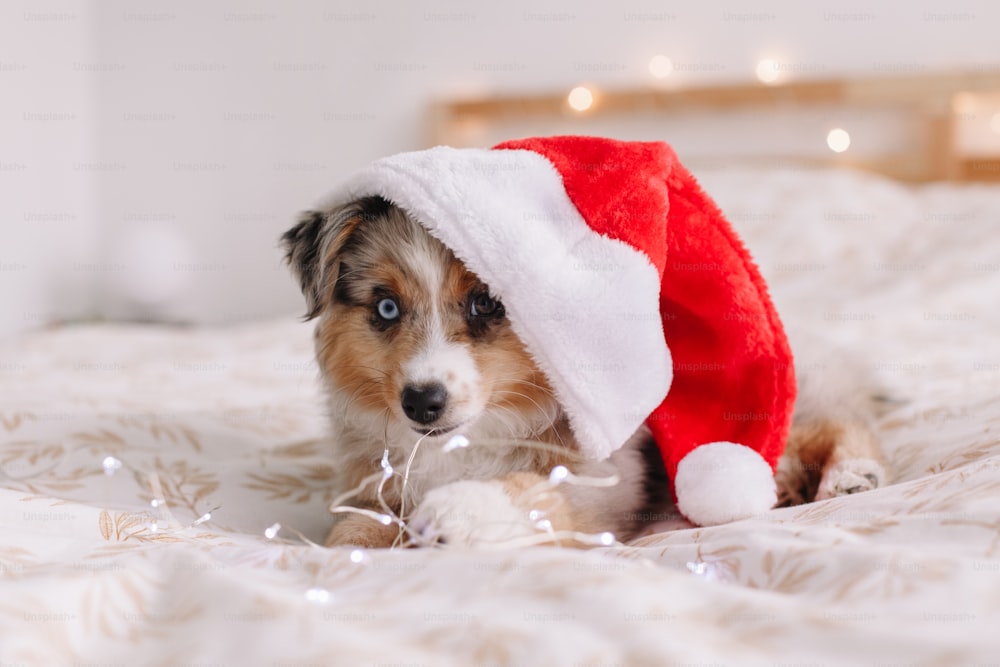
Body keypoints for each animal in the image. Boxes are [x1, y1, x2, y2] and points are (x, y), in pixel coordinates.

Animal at [282, 196, 892, 552]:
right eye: (386, 308)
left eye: (486, 304)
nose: (422, 402)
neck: (470, 439)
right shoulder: (373, 478)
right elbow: (352, 528)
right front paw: (353, 546)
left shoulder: (603, 481)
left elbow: (532, 489)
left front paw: (459, 510)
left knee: (839, 424)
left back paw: (851, 477)